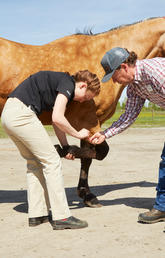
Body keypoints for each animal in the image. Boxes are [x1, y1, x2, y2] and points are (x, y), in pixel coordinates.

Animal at [0, 16, 165, 208]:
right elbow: (101, 152)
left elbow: (88, 158)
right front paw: (63, 151)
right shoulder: (86, 121)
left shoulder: (91, 123)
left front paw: (86, 194)